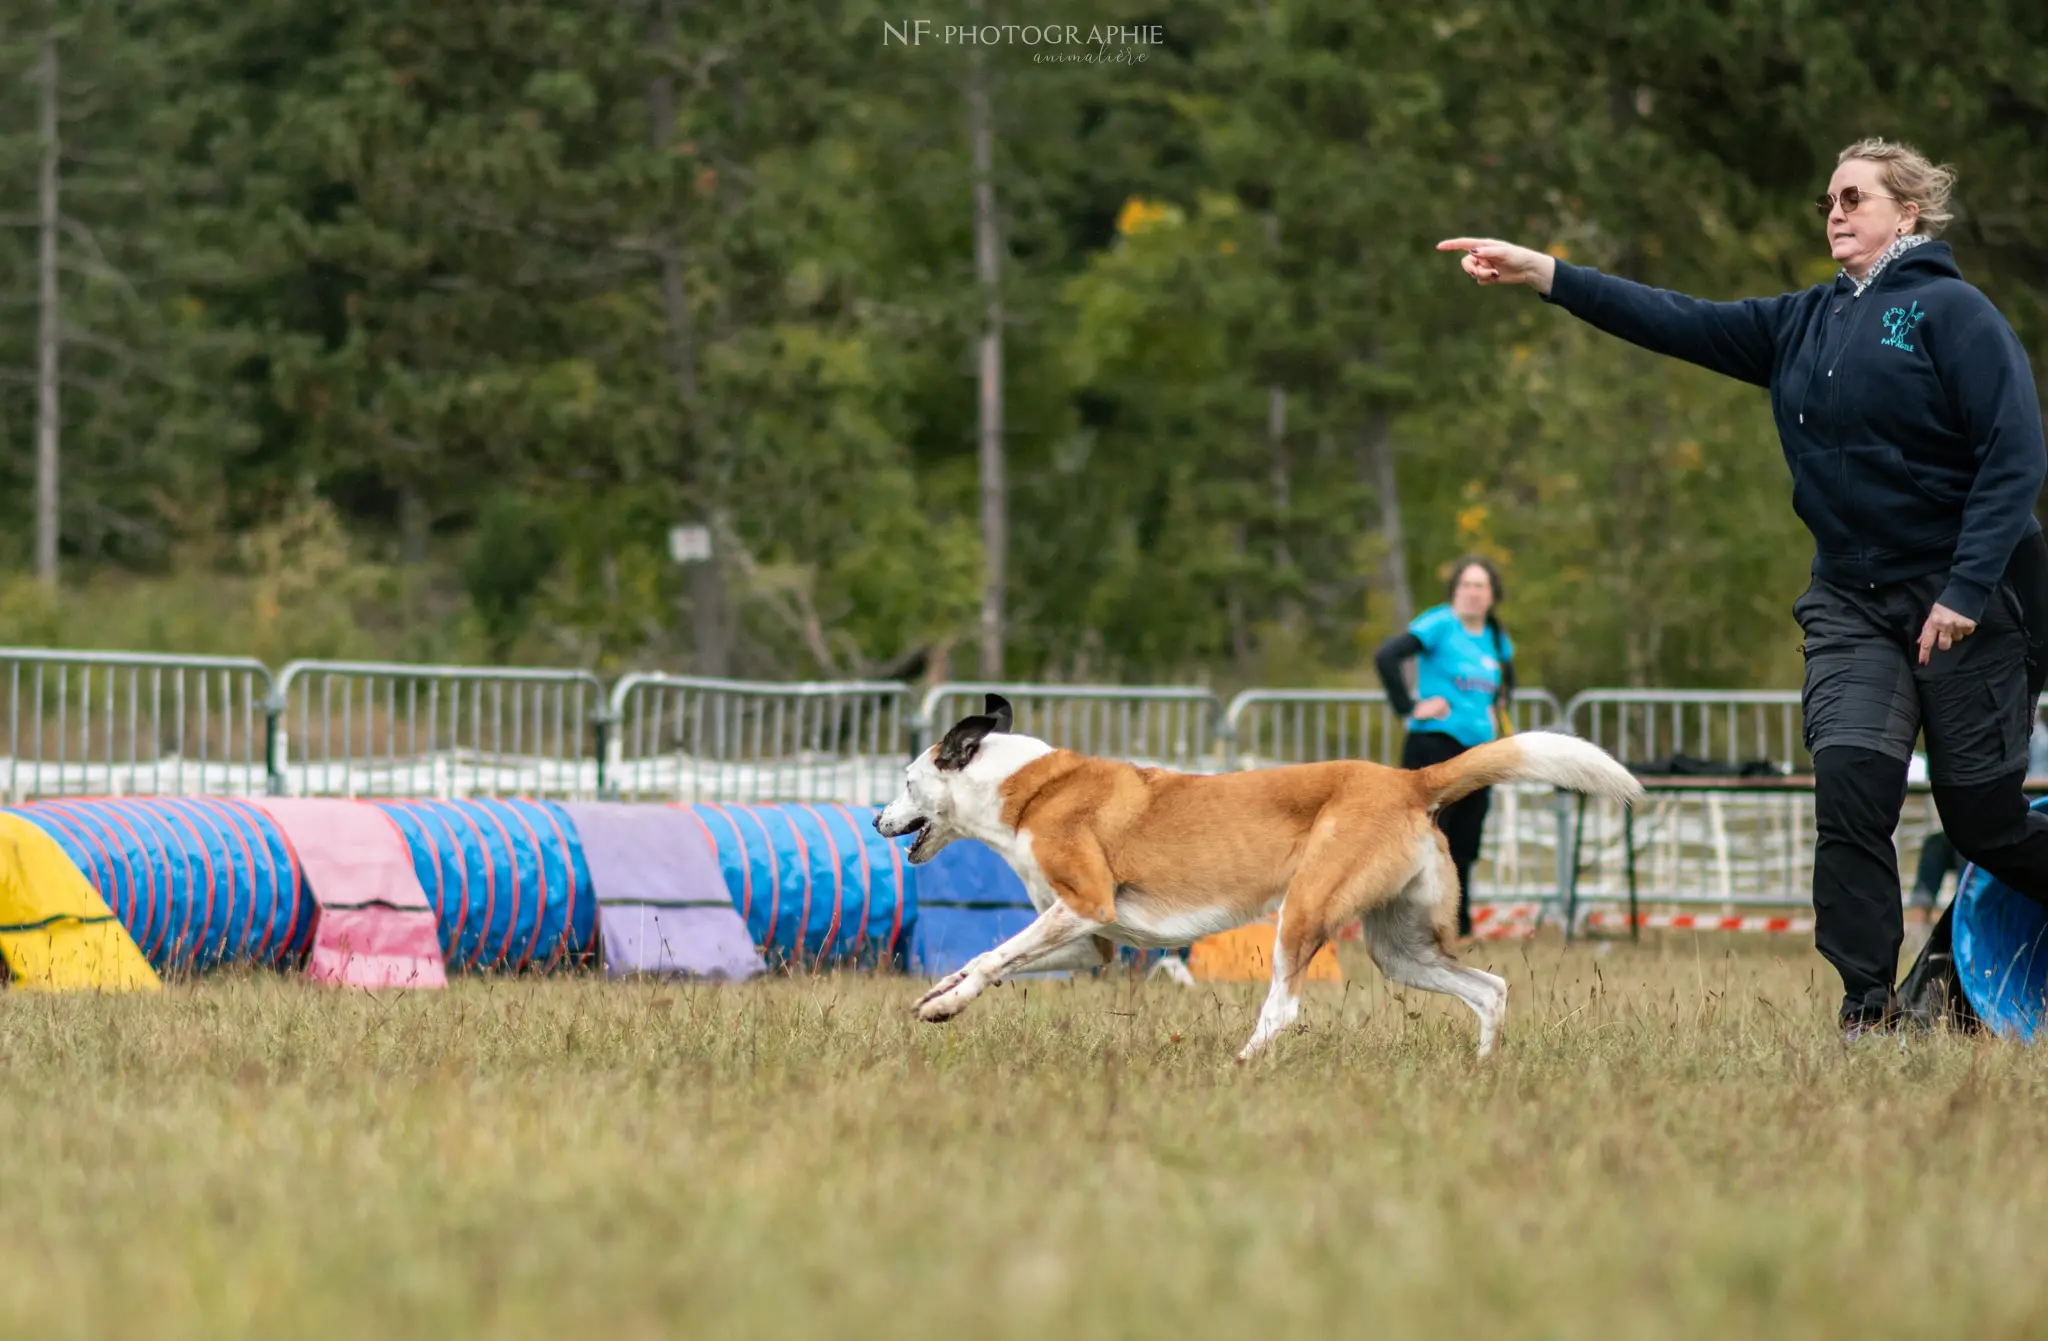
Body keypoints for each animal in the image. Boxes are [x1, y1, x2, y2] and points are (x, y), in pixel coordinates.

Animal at [872, 696, 1638, 1064]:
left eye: (907, 780)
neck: (1027, 788)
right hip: (1402, 946)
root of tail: (1410, 779)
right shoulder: (1089, 936)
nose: (878, 819)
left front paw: (946, 1000)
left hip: (1303, 911)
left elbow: (992, 954)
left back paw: (1238, 1065)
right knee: (1490, 989)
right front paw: (942, 999)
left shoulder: (1082, 905)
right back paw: (1481, 1070)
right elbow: (994, 958)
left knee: (1284, 1007)